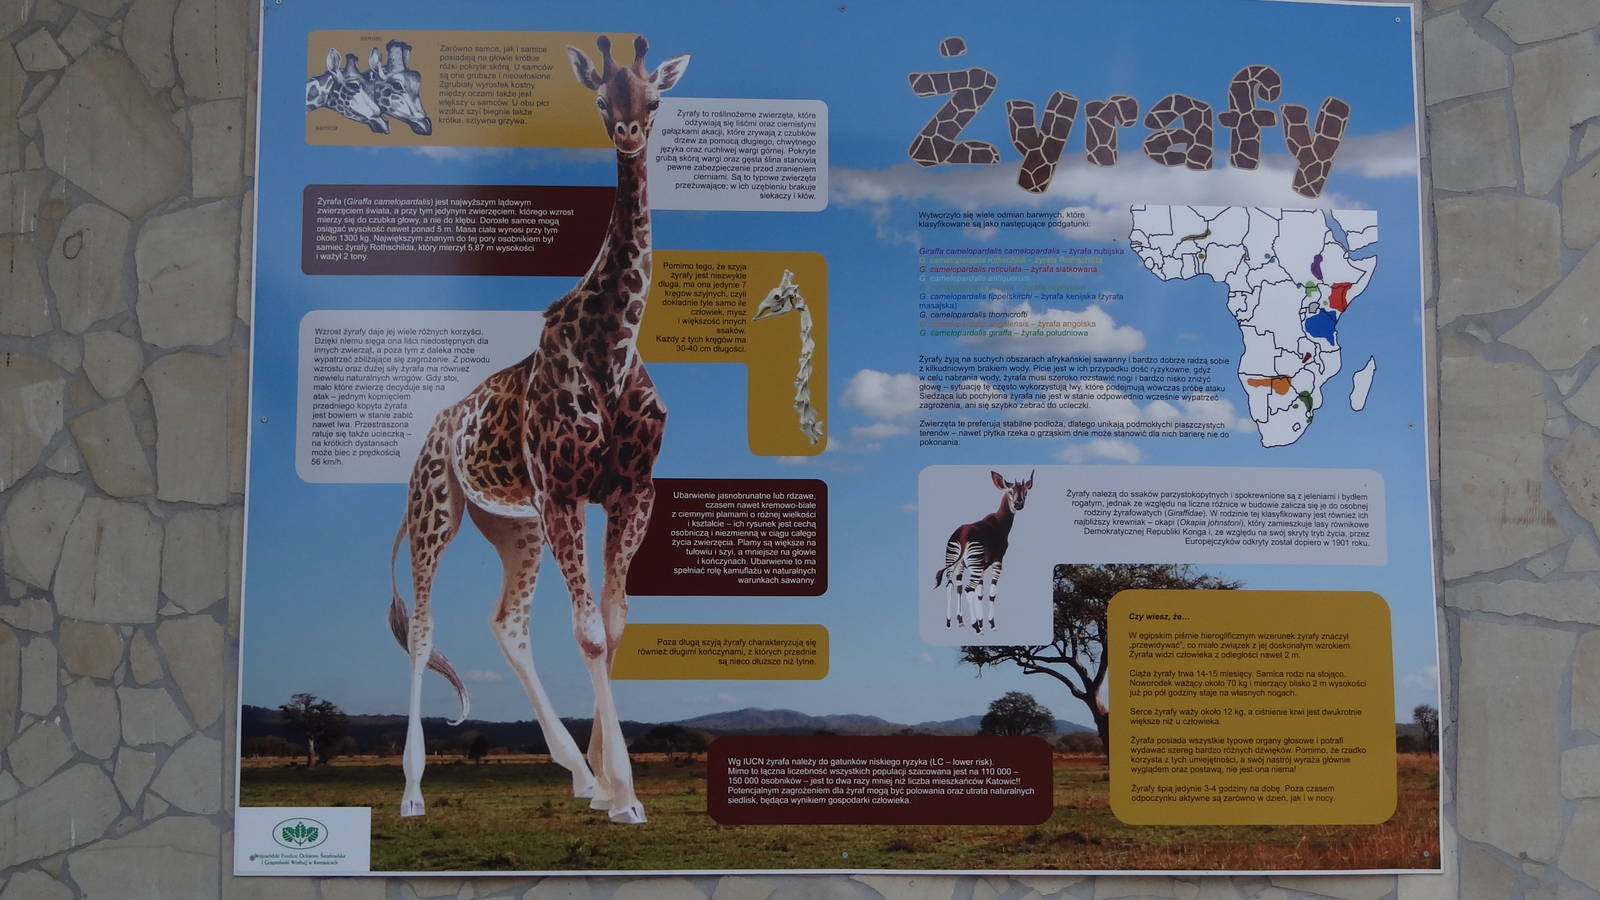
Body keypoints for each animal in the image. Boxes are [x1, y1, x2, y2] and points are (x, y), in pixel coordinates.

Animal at [387, 34, 687, 826]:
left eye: (655, 97)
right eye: (601, 97)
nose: (629, 132)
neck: (611, 348)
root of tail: (435, 431)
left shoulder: (631, 492)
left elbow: (614, 624)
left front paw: (611, 785)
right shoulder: (562, 490)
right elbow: (588, 631)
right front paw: (625, 797)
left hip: (511, 525)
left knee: (507, 622)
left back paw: (577, 774)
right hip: (437, 509)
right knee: (424, 628)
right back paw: (411, 792)